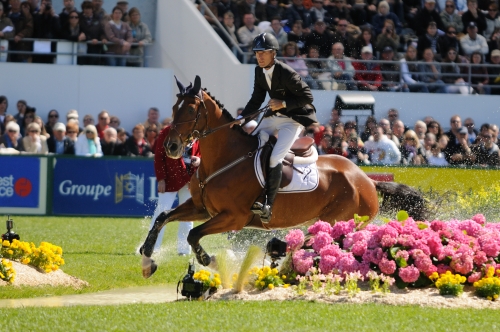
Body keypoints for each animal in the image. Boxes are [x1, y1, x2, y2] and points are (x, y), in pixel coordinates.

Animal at [141, 76, 426, 278]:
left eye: (191, 110)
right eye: (174, 108)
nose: (171, 147)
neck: (222, 158)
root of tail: (367, 180)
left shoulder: (234, 217)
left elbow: (193, 235)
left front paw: (211, 261)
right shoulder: (202, 208)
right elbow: (162, 218)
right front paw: (146, 260)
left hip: (338, 221)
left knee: (322, 246)